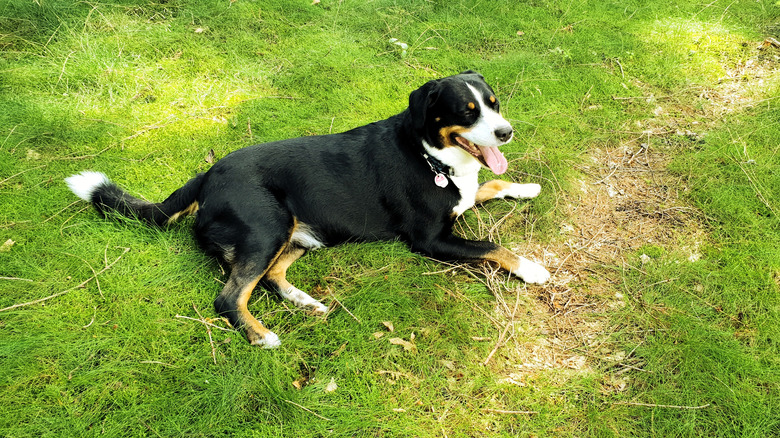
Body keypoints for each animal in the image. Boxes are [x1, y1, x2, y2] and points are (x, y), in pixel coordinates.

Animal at [67, 70, 552, 348]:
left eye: (493, 104)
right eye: (467, 113)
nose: (506, 132)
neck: (430, 154)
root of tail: (208, 175)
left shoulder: (465, 193)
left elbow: (490, 183)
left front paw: (525, 187)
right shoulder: (431, 239)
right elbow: (490, 244)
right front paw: (531, 268)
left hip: (302, 235)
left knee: (270, 277)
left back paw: (305, 301)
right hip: (268, 226)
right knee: (230, 294)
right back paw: (261, 335)